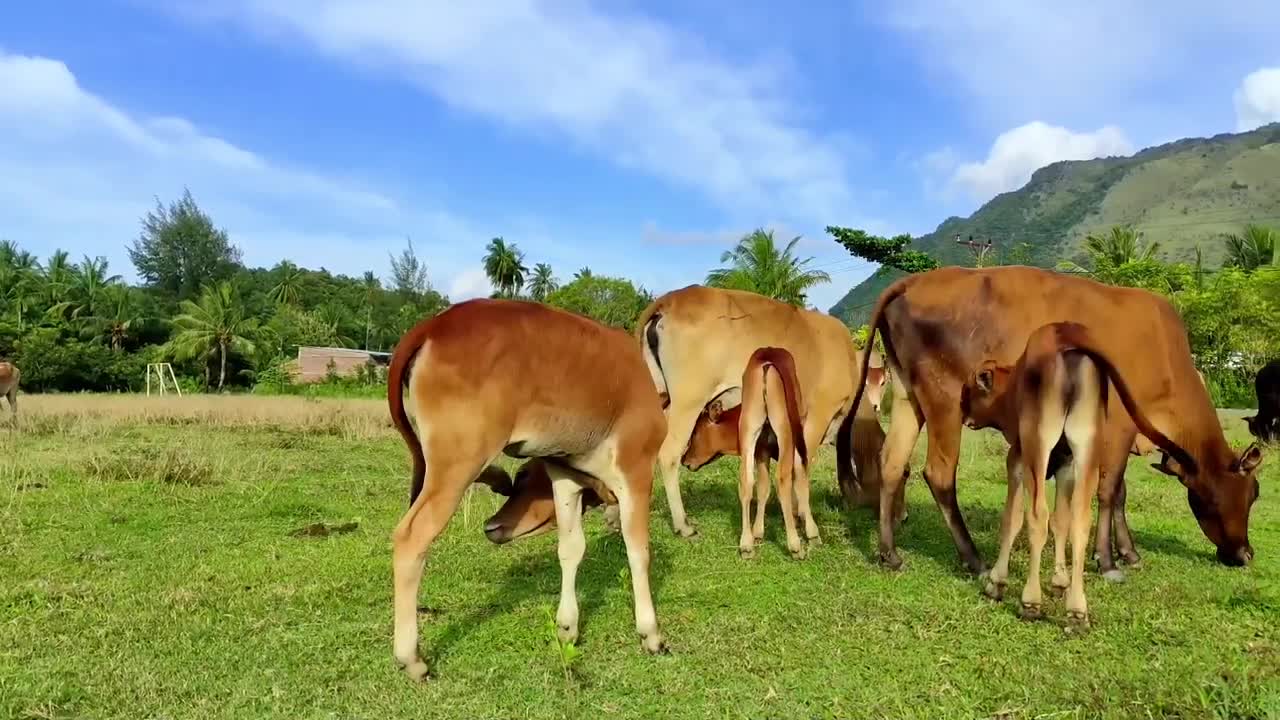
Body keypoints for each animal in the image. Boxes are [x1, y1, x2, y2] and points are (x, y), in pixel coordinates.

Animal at [386, 297, 670, 676]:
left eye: (525, 479)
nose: (493, 526)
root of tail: (435, 324)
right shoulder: (637, 471)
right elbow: (639, 551)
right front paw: (650, 633)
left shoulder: (565, 478)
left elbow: (571, 549)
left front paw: (567, 626)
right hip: (458, 461)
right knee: (411, 538)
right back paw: (412, 658)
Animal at [634, 283, 906, 535]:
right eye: (905, 474)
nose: (902, 517)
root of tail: (670, 300)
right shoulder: (818, 416)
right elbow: (800, 466)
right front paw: (805, 521)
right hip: (688, 402)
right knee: (668, 454)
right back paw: (683, 525)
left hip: (658, 395)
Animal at [680, 345, 819, 558]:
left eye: (695, 431)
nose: (684, 459)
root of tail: (767, 356)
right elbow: (801, 480)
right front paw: (811, 532)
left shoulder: (760, 451)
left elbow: (762, 488)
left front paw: (758, 532)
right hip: (786, 432)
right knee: (782, 480)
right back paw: (795, 545)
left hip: (750, 429)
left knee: (746, 482)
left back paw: (746, 544)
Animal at [855, 266, 1264, 573]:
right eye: (1254, 492)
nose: (1246, 554)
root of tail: (912, 282)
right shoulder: (1120, 422)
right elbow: (1109, 489)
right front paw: (1107, 558)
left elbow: (1120, 493)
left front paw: (1128, 552)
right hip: (945, 400)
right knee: (938, 473)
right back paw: (974, 558)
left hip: (907, 395)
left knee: (892, 463)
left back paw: (889, 553)